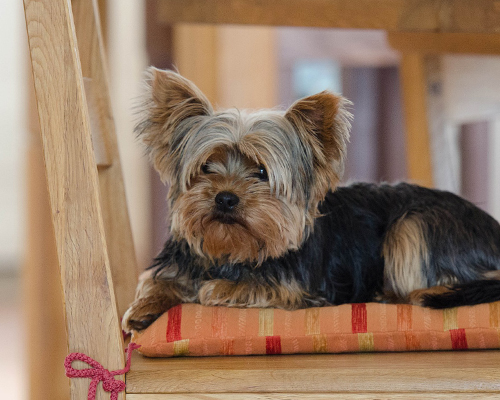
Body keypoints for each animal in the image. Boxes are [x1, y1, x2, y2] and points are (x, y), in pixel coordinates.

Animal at [121, 67, 500, 332]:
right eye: (206, 167)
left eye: (261, 172)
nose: (225, 198)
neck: (232, 251)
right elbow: (155, 280)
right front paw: (143, 308)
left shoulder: (299, 290)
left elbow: (241, 288)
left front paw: (219, 287)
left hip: (414, 226)